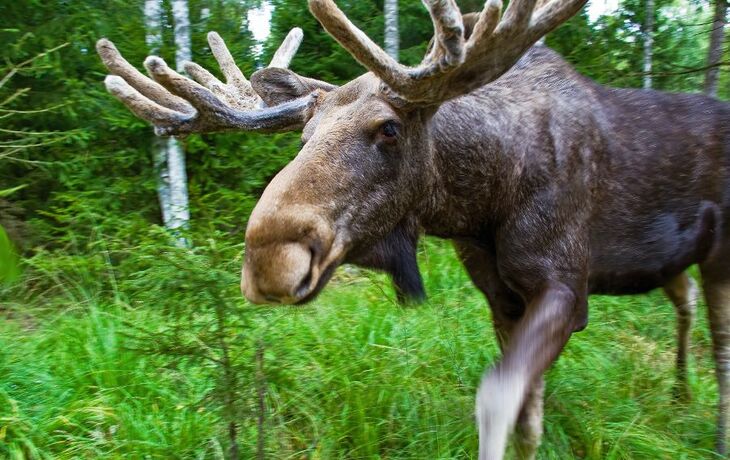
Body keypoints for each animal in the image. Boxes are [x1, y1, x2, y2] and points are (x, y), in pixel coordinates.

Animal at [96, 0, 728, 458]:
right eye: (304, 136)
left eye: (390, 128)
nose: (269, 260)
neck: (482, 200)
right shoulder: (500, 295)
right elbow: (528, 414)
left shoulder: (566, 285)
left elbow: (498, 398)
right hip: (669, 261)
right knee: (685, 302)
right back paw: (679, 392)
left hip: (721, 256)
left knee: (719, 340)